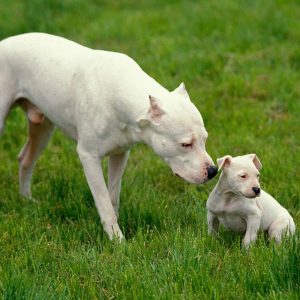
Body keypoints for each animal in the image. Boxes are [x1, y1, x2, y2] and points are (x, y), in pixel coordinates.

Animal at [0, 32, 217, 239]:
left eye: (205, 139)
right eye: (186, 144)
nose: (213, 171)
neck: (121, 94)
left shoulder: (120, 154)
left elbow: (112, 196)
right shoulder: (89, 157)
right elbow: (104, 202)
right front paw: (117, 241)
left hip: (43, 127)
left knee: (26, 160)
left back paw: (27, 201)